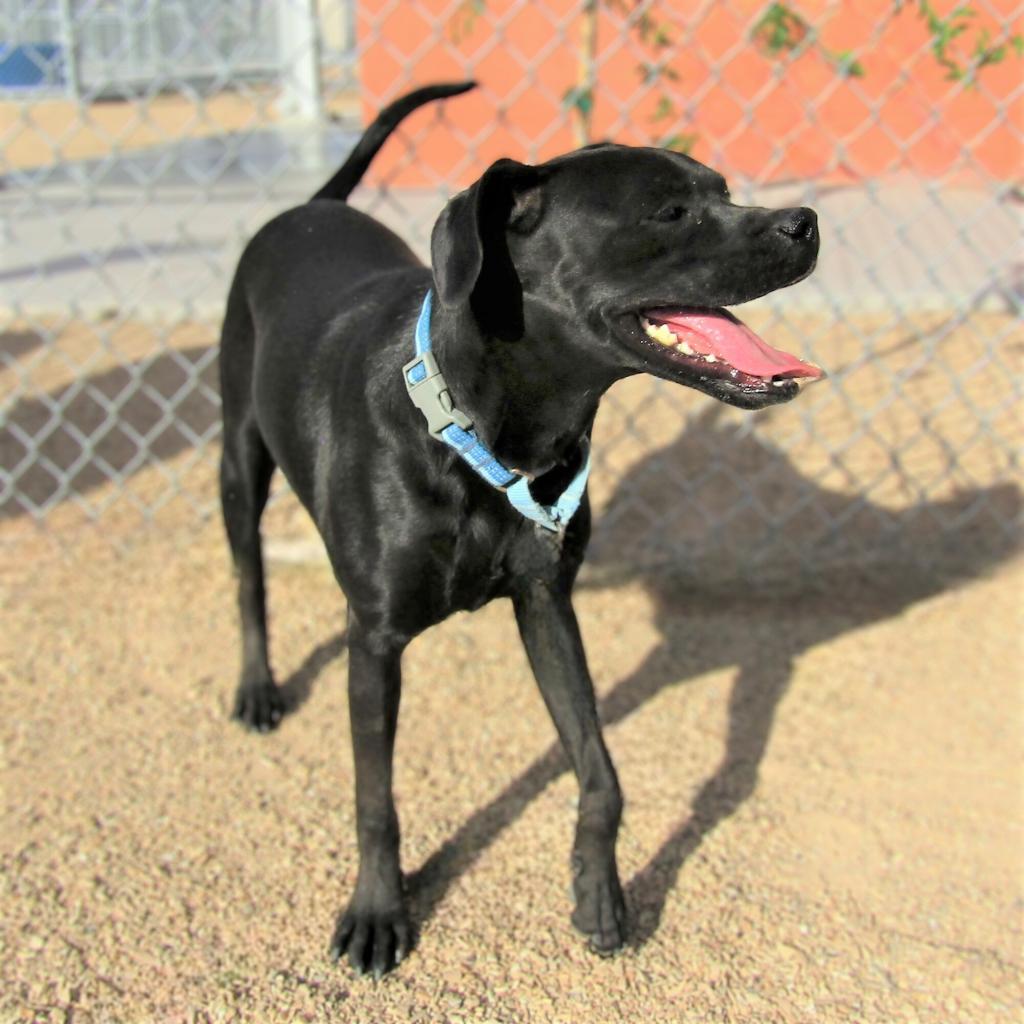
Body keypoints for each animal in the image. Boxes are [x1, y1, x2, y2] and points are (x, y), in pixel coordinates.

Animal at [218, 81, 823, 974]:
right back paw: (258, 688)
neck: (483, 438)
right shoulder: (374, 642)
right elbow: (375, 799)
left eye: (722, 190)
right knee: (249, 576)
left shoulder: (547, 603)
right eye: (669, 210)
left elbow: (602, 771)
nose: (807, 221)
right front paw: (377, 911)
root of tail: (309, 207)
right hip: (239, 457)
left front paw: (600, 892)